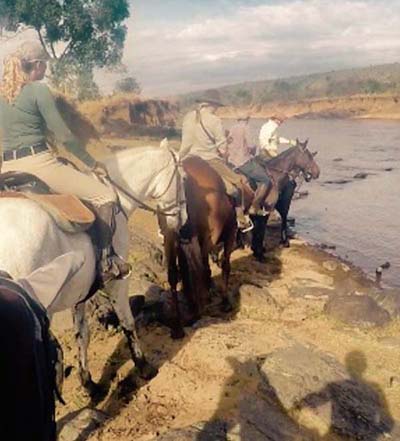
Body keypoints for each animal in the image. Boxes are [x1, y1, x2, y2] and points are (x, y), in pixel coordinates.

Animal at [0, 144, 186, 392]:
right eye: (182, 179)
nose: (182, 220)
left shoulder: (79, 293)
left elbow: (82, 334)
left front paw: (88, 381)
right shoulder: (118, 282)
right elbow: (127, 321)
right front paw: (143, 366)